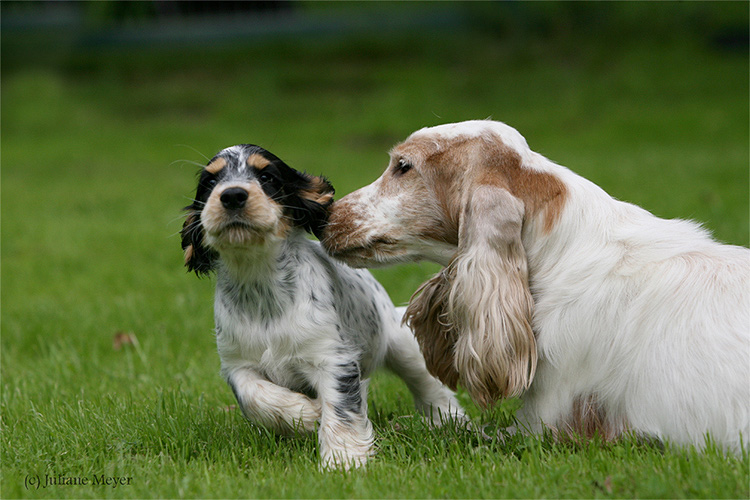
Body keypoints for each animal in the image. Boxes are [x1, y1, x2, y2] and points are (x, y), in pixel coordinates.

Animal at [181, 144, 464, 468]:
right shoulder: (237, 363)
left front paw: (343, 460)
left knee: (427, 382)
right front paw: (304, 414)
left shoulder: (332, 358)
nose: (232, 195)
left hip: (399, 342)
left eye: (267, 177)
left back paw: (448, 420)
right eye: (210, 182)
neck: (258, 279)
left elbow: (341, 409)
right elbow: (254, 396)